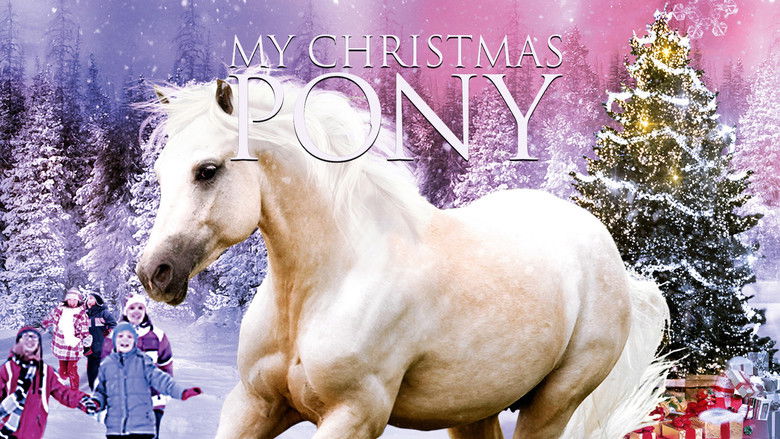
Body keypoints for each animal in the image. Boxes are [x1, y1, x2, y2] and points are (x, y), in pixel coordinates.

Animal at [135, 76, 670, 439]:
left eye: (207, 170)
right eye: (160, 171)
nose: (153, 274)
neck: (321, 288)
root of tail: (606, 250)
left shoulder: (355, 414)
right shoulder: (252, 403)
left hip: (553, 405)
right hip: (473, 410)